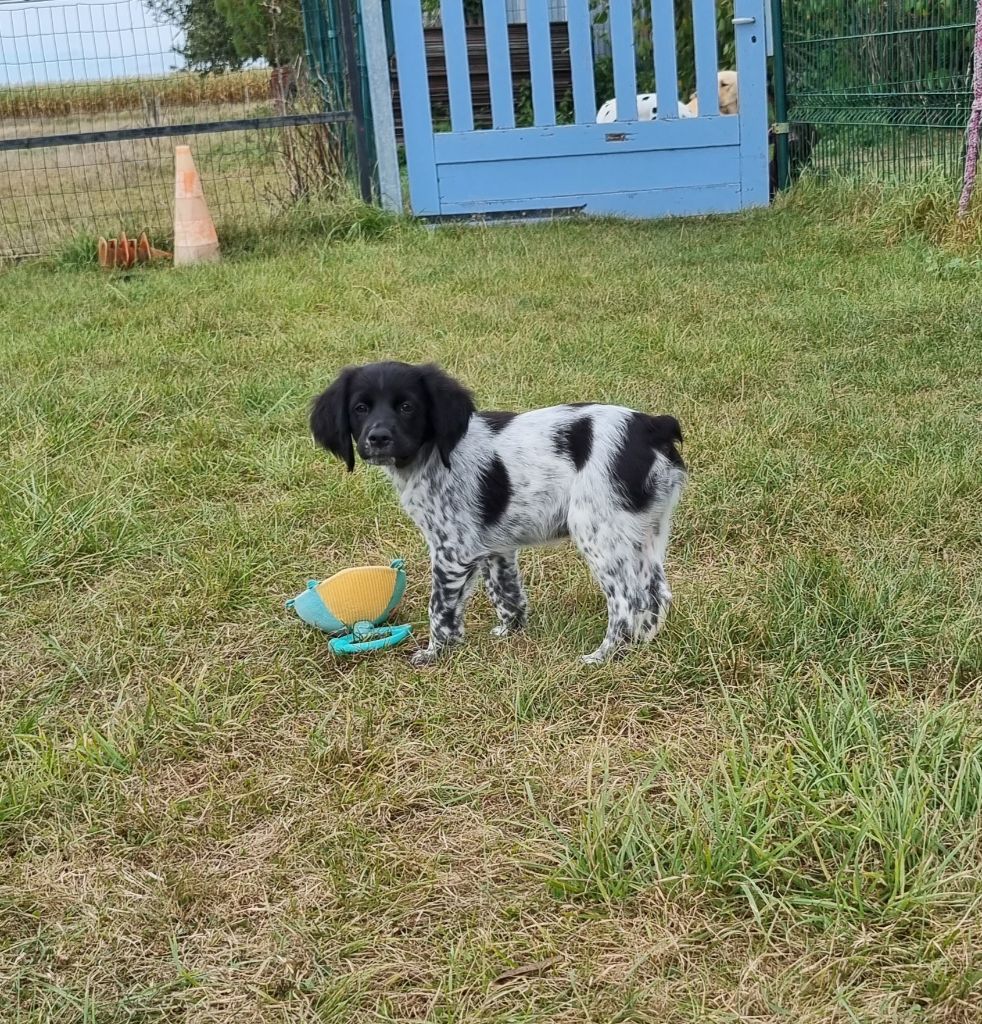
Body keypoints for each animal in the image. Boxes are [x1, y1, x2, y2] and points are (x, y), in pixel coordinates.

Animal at [311, 360, 688, 663]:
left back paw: (605, 655)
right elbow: (505, 592)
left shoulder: (452, 550)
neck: (432, 453)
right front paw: (510, 632)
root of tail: (652, 427)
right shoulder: (495, 545)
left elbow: (440, 606)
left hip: (598, 531)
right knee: (656, 593)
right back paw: (643, 643)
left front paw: (435, 652)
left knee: (627, 599)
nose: (378, 438)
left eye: (407, 407)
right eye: (361, 408)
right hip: (645, 531)